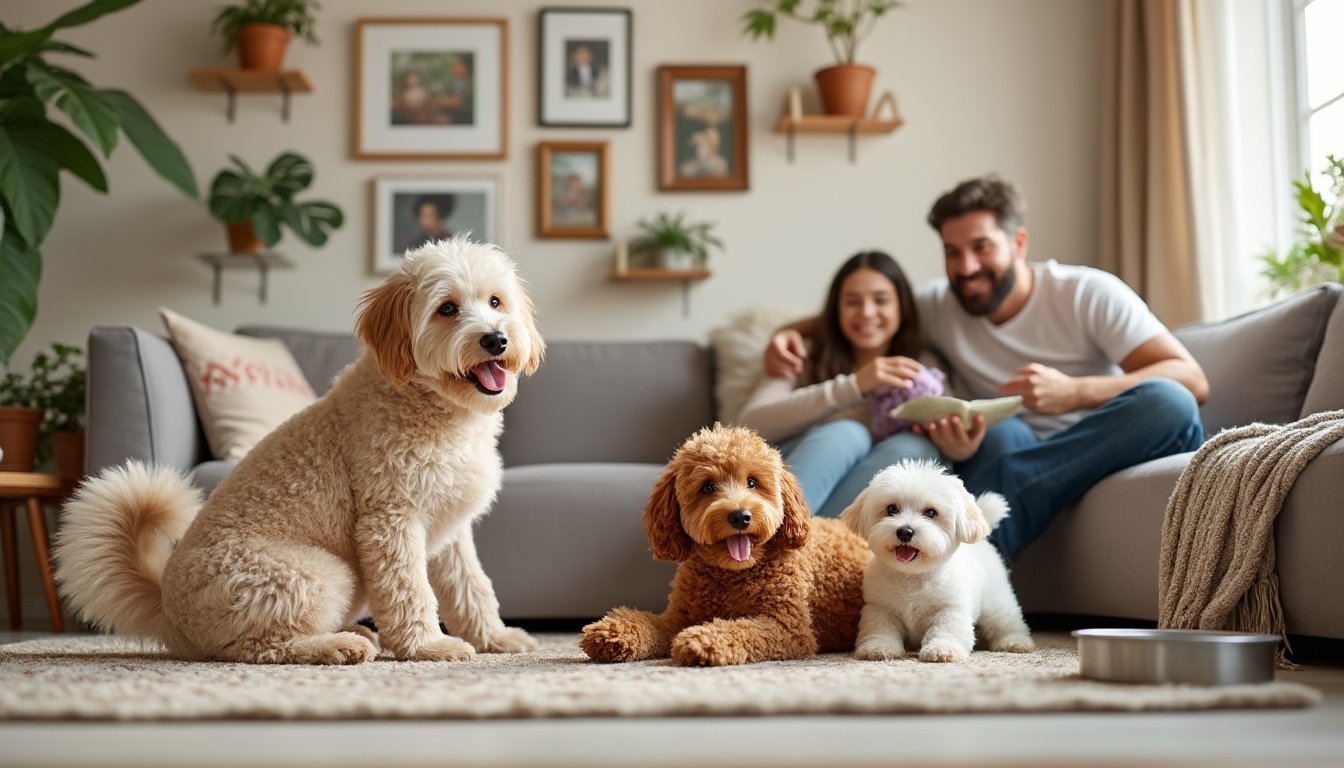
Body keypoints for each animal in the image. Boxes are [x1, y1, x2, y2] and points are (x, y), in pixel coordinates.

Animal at [52, 238, 545, 664]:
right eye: (447, 309)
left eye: (495, 302)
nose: (496, 339)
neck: (428, 406)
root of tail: (170, 611)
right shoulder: (391, 521)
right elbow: (409, 591)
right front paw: (428, 647)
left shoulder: (450, 531)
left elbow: (472, 588)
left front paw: (494, 638)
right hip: (319, 575)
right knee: (258, 648)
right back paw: (337, 646)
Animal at [580, 427, 870, 667]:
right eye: (707, 487)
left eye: (752, 482)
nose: (740, 516)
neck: (732, 574)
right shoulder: (677, 618)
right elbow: (649, 623)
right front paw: (612, 632)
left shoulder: (788, 627)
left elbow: (741, 629)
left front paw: (702, 641)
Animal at [844, 459, 1032, 664]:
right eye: (891, 509)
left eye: (931, 512)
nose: (905, 531)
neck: (912, 575)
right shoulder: (880, 608)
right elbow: (880, 629)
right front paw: (878, 648)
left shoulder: (949, 608)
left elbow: (947, 630)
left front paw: (943, 649)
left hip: (995, 602)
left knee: (1005, 622)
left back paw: (1015, 642)